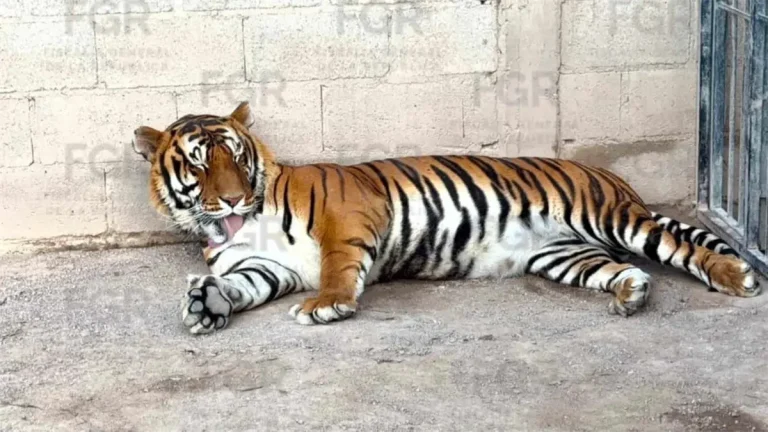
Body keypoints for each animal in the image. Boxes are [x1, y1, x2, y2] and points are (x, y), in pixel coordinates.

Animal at [132, 101, 761, 334]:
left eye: (236, 157)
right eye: (199, 162)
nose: (234, 200)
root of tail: (611, 176)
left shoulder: (348, 216)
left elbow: (337, 266)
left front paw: (327, 304)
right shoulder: (266, 266)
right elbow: (240, 285)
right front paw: (206, 304)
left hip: (612, 218)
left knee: (680, 246)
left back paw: (739, 278)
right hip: (566, 255)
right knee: (625, 269)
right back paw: (631, 294)